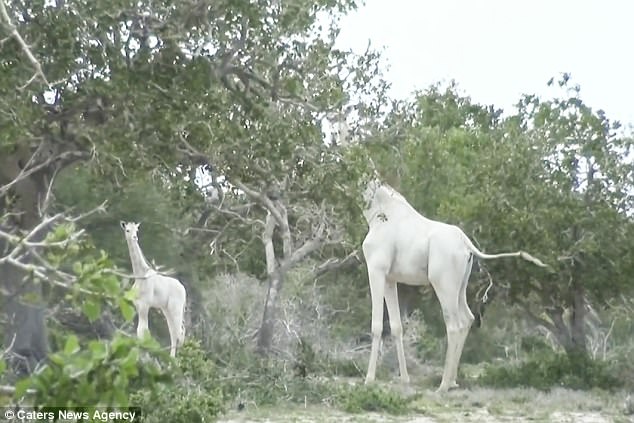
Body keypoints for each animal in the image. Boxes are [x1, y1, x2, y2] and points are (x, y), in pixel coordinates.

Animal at [119, 222, 185, 358]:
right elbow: (140, 331)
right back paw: (172, 359)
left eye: (137, 230)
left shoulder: (145, 305)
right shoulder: (138, 305)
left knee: (180, 332)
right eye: (127, 230)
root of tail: (184, 290)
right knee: (174, 332)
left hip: (176, 308)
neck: (140, 276)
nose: (135, 237)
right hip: (166, 309)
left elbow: (144, 331)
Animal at [360, 180, 548, 394]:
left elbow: (376, 326)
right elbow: (396, 326)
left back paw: (443, 386)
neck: (379, 214)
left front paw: (369, 380)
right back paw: (452, 381)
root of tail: (466, 245)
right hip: (460, 287)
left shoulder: (376, 269)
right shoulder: (391, 279)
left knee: (454, 326)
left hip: (444, 285)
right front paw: (405, 380)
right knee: (468, 318)